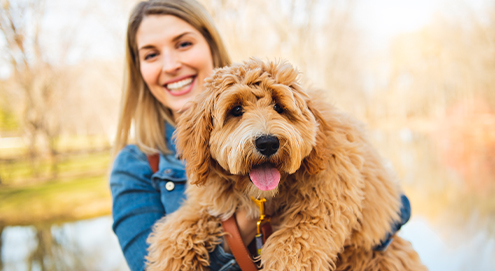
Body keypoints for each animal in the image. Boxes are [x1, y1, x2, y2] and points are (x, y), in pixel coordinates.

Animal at [145, 58, 428, 270]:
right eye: (236, 110)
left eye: (279, 107)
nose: (268, 143)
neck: (264, 197)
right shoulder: (215, 201)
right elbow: (179, 228)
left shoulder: (327, 199)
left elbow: (293, 247)